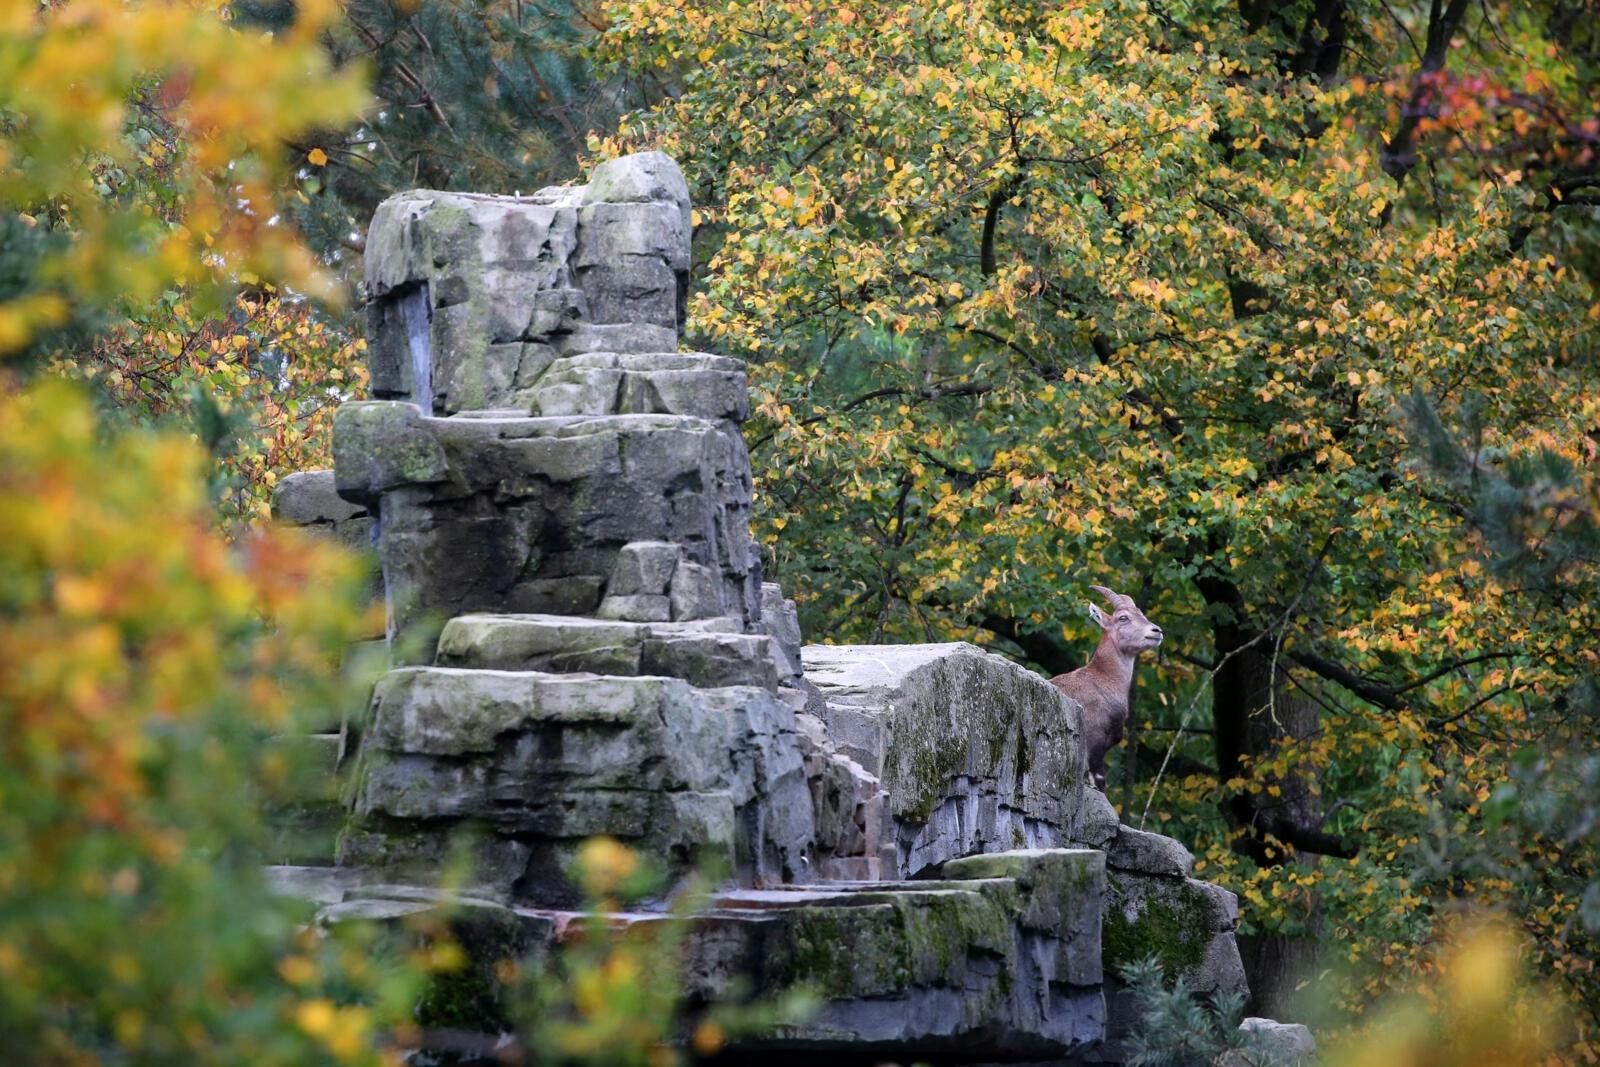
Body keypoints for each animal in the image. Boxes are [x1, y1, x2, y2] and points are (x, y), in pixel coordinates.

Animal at [1048, 586, 1164, 791]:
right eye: (1123, 617)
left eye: (1141, 614)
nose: (1156, 631)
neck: (1102, 678)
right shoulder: (1094, 741)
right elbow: (1100, 779)